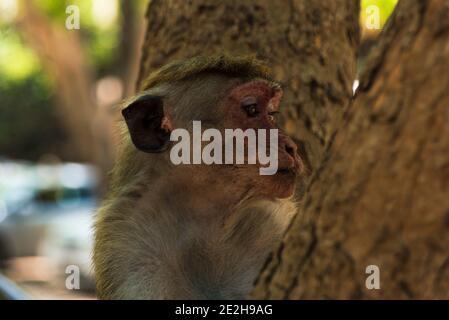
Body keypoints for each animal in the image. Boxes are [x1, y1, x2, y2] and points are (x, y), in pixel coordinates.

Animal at [92, 55, 302, 300]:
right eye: (251, 109)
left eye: (271, 114)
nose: (292, 147)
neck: (200, 212)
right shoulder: (125, 245)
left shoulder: (270, 218)